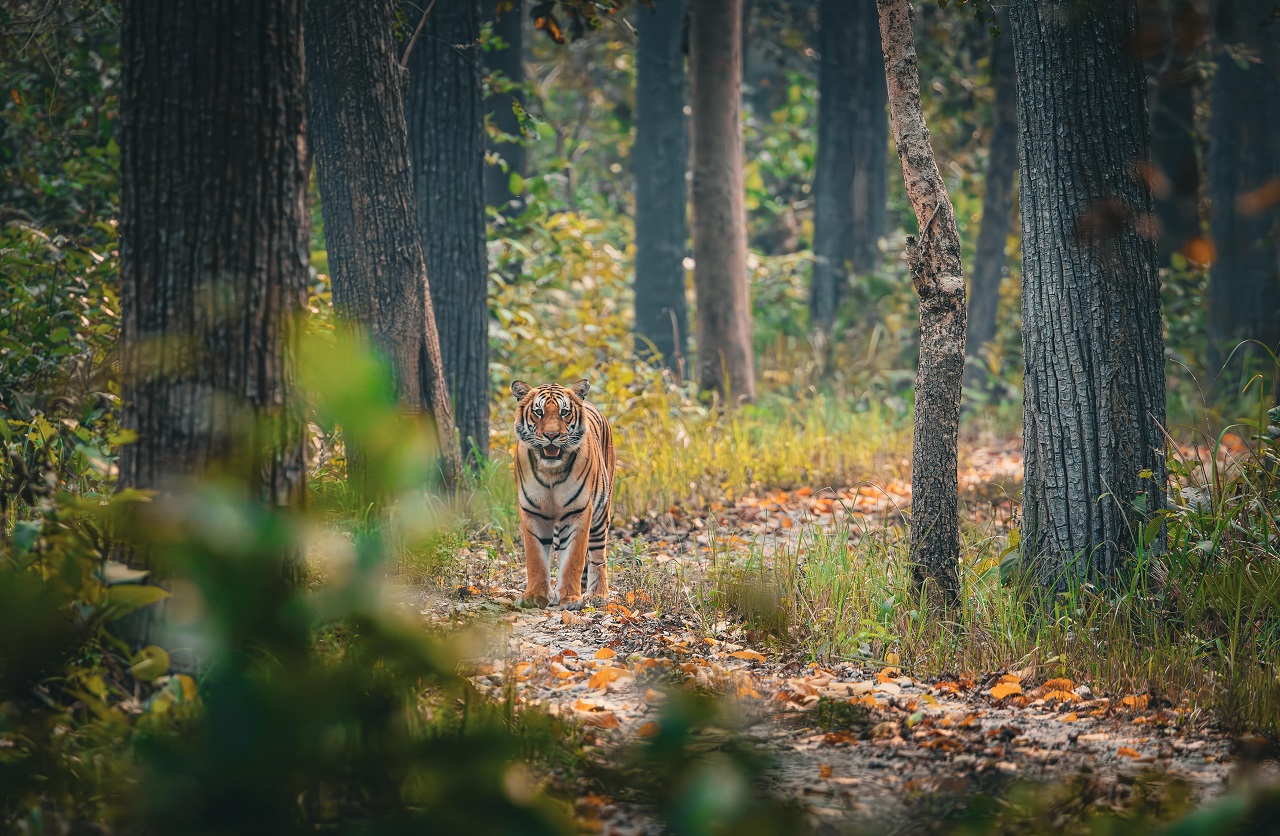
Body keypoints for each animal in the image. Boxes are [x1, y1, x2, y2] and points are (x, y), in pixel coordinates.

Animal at [511, 378, 615, 610]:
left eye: (564, 412)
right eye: (538, 412)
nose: (551, 436)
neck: (551, 471)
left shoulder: (579, 511)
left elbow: (574, 558)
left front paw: (570, 598)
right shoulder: (532, 512)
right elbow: (536, 559)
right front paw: (534, 596)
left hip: (600, 515)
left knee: (597, 556)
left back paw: (598, 594)